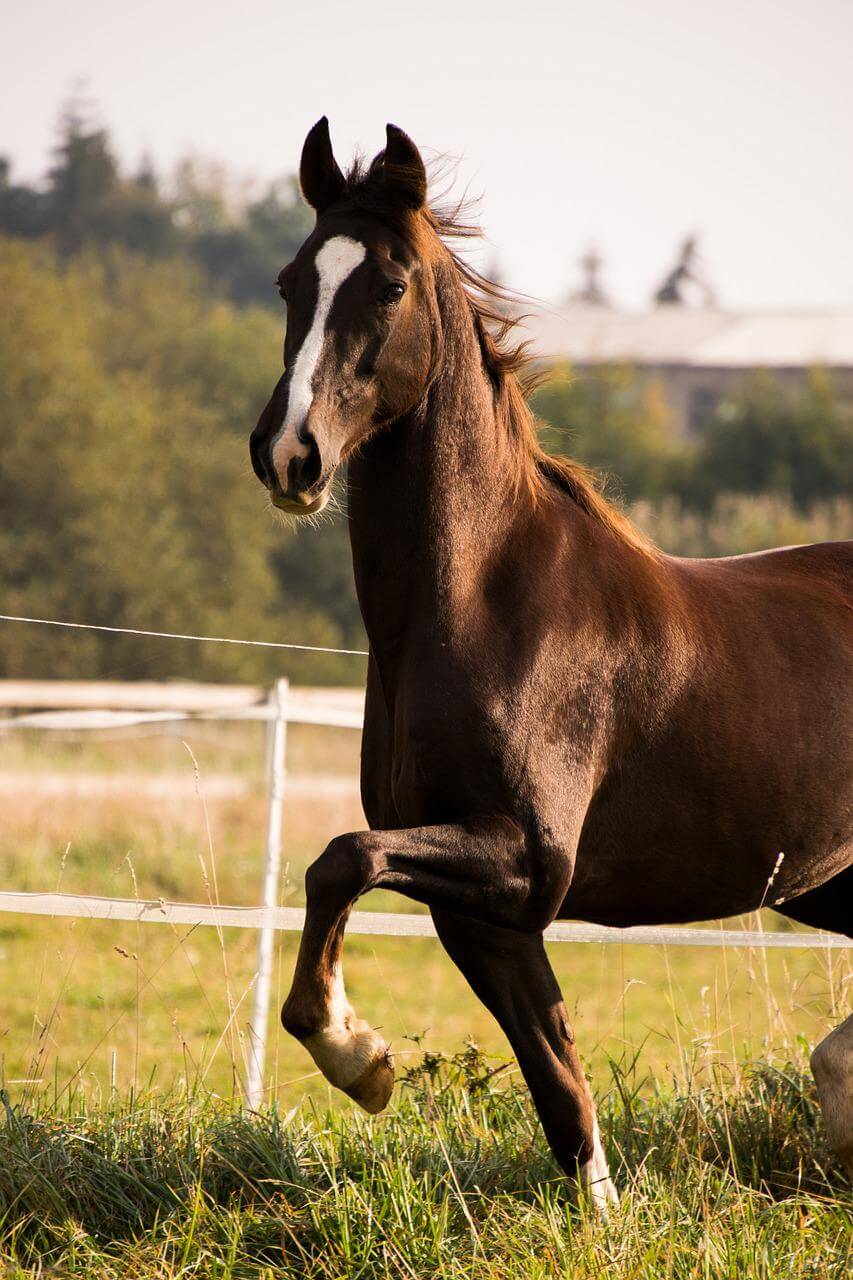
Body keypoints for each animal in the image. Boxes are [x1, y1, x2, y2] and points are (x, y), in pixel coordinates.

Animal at [249, 118, 853, 1207]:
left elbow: (339, 857)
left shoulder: (525, 856)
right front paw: (598, 1210)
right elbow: (557, 1075)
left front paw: (357, 1056)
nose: (289, 455)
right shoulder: (485, 912)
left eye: (390, 284)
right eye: (289, 281)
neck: (485, 606)